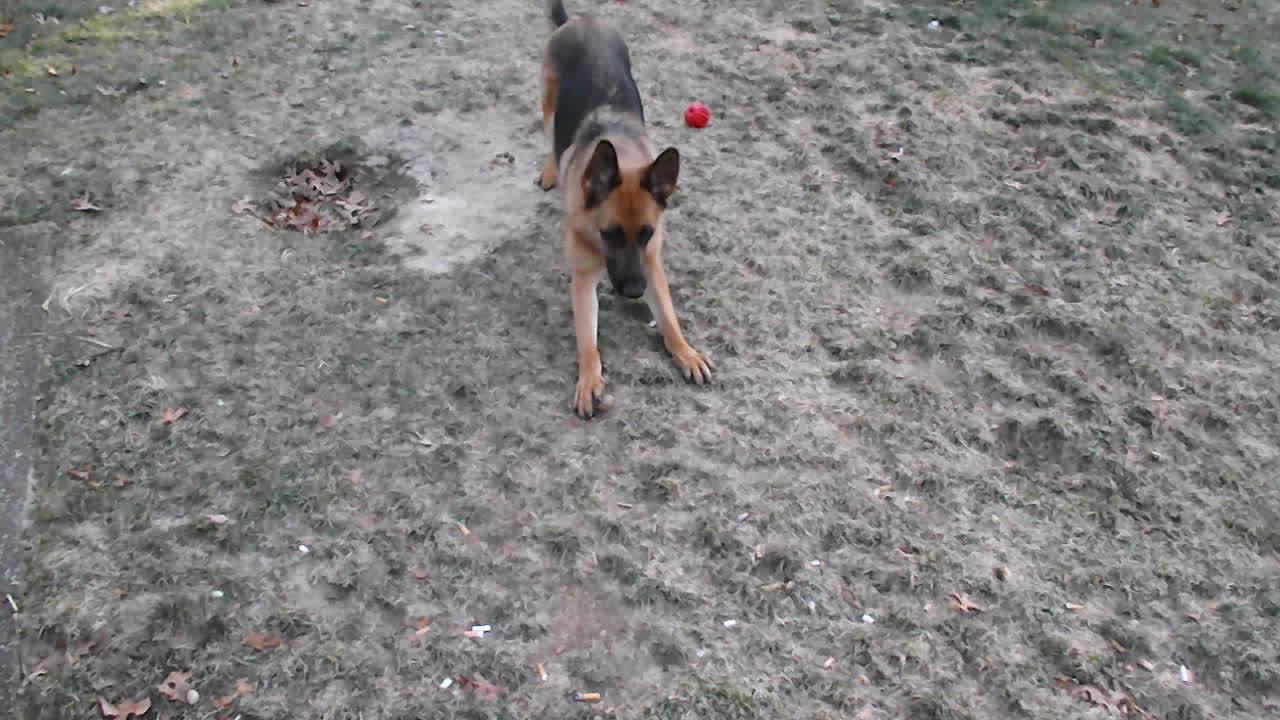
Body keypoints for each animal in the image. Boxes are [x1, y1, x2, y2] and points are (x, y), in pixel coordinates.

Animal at [529, 0, 711, 420]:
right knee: (549, 133)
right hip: (548, 101)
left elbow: (668, 314)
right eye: (609, 234)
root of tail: (581, 21)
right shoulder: (583, 280)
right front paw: (589, 379)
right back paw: (550, 169)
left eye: (646, 233)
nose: (634, 292)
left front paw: (684, 350)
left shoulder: (652, 264)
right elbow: (587, 339)